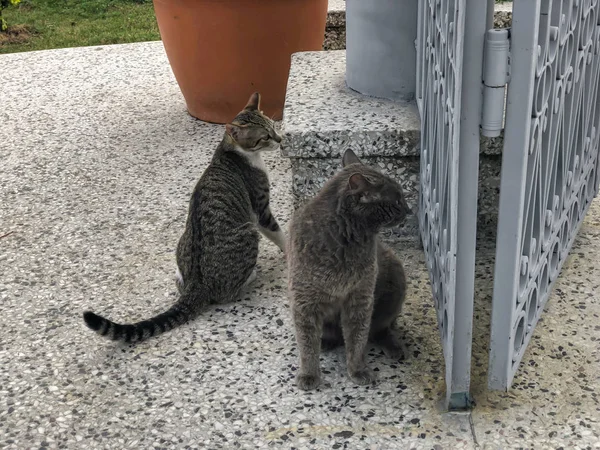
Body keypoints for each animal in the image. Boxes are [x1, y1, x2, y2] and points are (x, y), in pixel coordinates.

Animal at [83, 92, 288, 344]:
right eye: (265, 137)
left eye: (273, 126)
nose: (280, 139)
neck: (231, 151)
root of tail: (196, 285)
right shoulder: (261, 210)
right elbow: (278, 233)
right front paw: (289, 249)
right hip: (249, 232)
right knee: (226, 295)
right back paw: (250, 277)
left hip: (183, 239)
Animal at [284, 149, 408, 388]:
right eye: (397, 199)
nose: (410, 209)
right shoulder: (304, 300)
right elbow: (306, 343)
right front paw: (309, 374)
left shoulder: (360, 296)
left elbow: (357, 338)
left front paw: (358, 370)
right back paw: (327, 342)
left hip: (395, 276)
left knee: (380, 328)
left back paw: (395, 348)